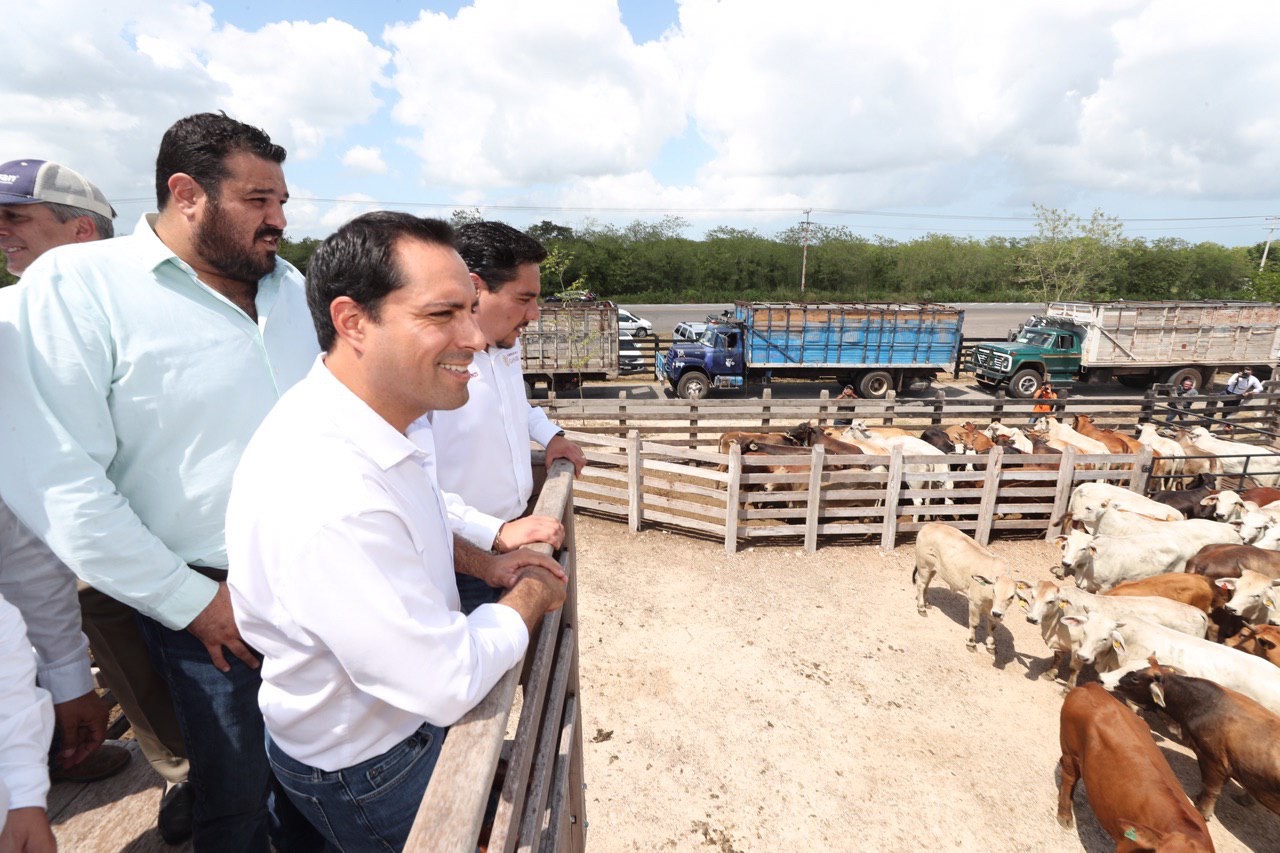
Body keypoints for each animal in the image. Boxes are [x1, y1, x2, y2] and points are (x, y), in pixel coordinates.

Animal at [911, 517, 1018, 650]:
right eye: (994, 591)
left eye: (1011, 596)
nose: (998, 613)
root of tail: (928, 526)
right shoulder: (974, 603)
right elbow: (974, 623)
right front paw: (971, 642)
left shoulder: (993, 610)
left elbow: (992, 626)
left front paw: (991, 644)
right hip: (924, 566)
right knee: (921, 584)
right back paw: (921, 608)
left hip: (933, 569)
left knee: (927, 584)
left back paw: (926, 603)